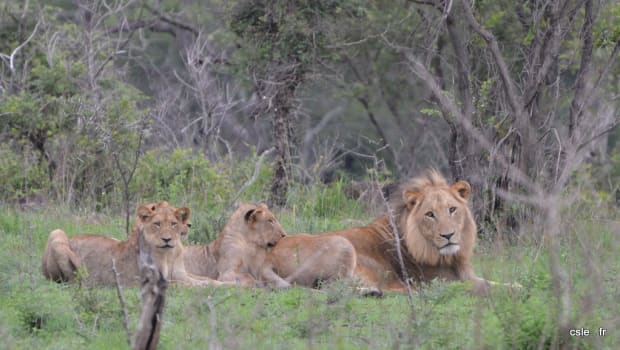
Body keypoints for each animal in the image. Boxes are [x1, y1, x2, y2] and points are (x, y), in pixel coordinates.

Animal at [41, 202, 222, 288]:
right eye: (156, 224)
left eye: (173, 223)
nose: (167, 239)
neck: (168, 255)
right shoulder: (147, 282)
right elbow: (187, 285)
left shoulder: (180, 274)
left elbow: (206, 280)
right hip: (56, 233)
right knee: (68, 280)